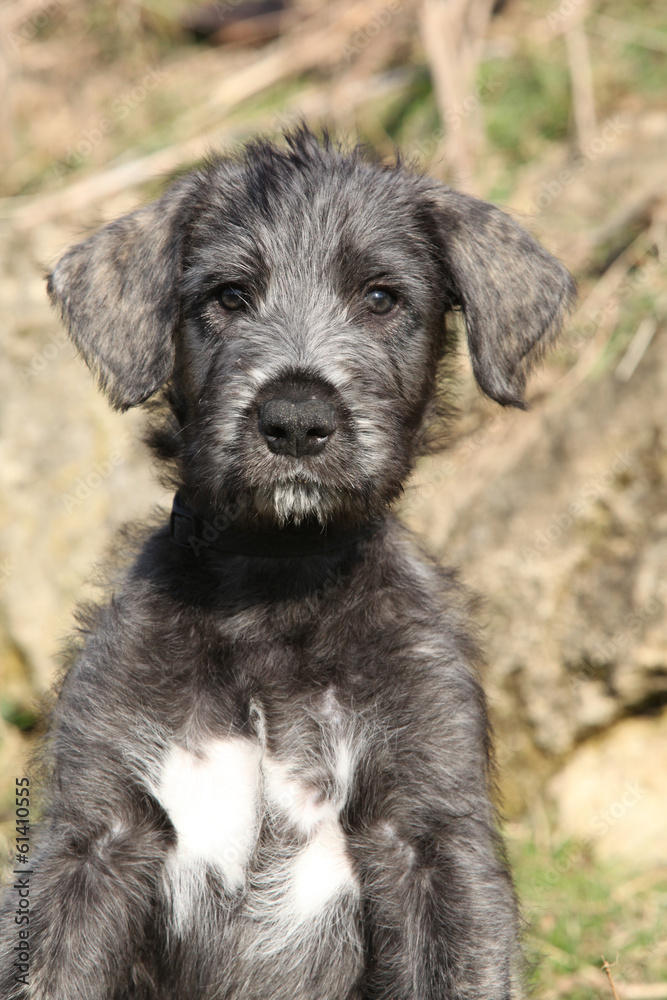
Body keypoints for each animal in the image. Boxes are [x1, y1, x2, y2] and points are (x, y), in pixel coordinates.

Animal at [0, 127, 576, 1000]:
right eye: (229, 296)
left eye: (381, 298)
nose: (297, 419)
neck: (276, 591)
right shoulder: (92, 840)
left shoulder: (434, 844)